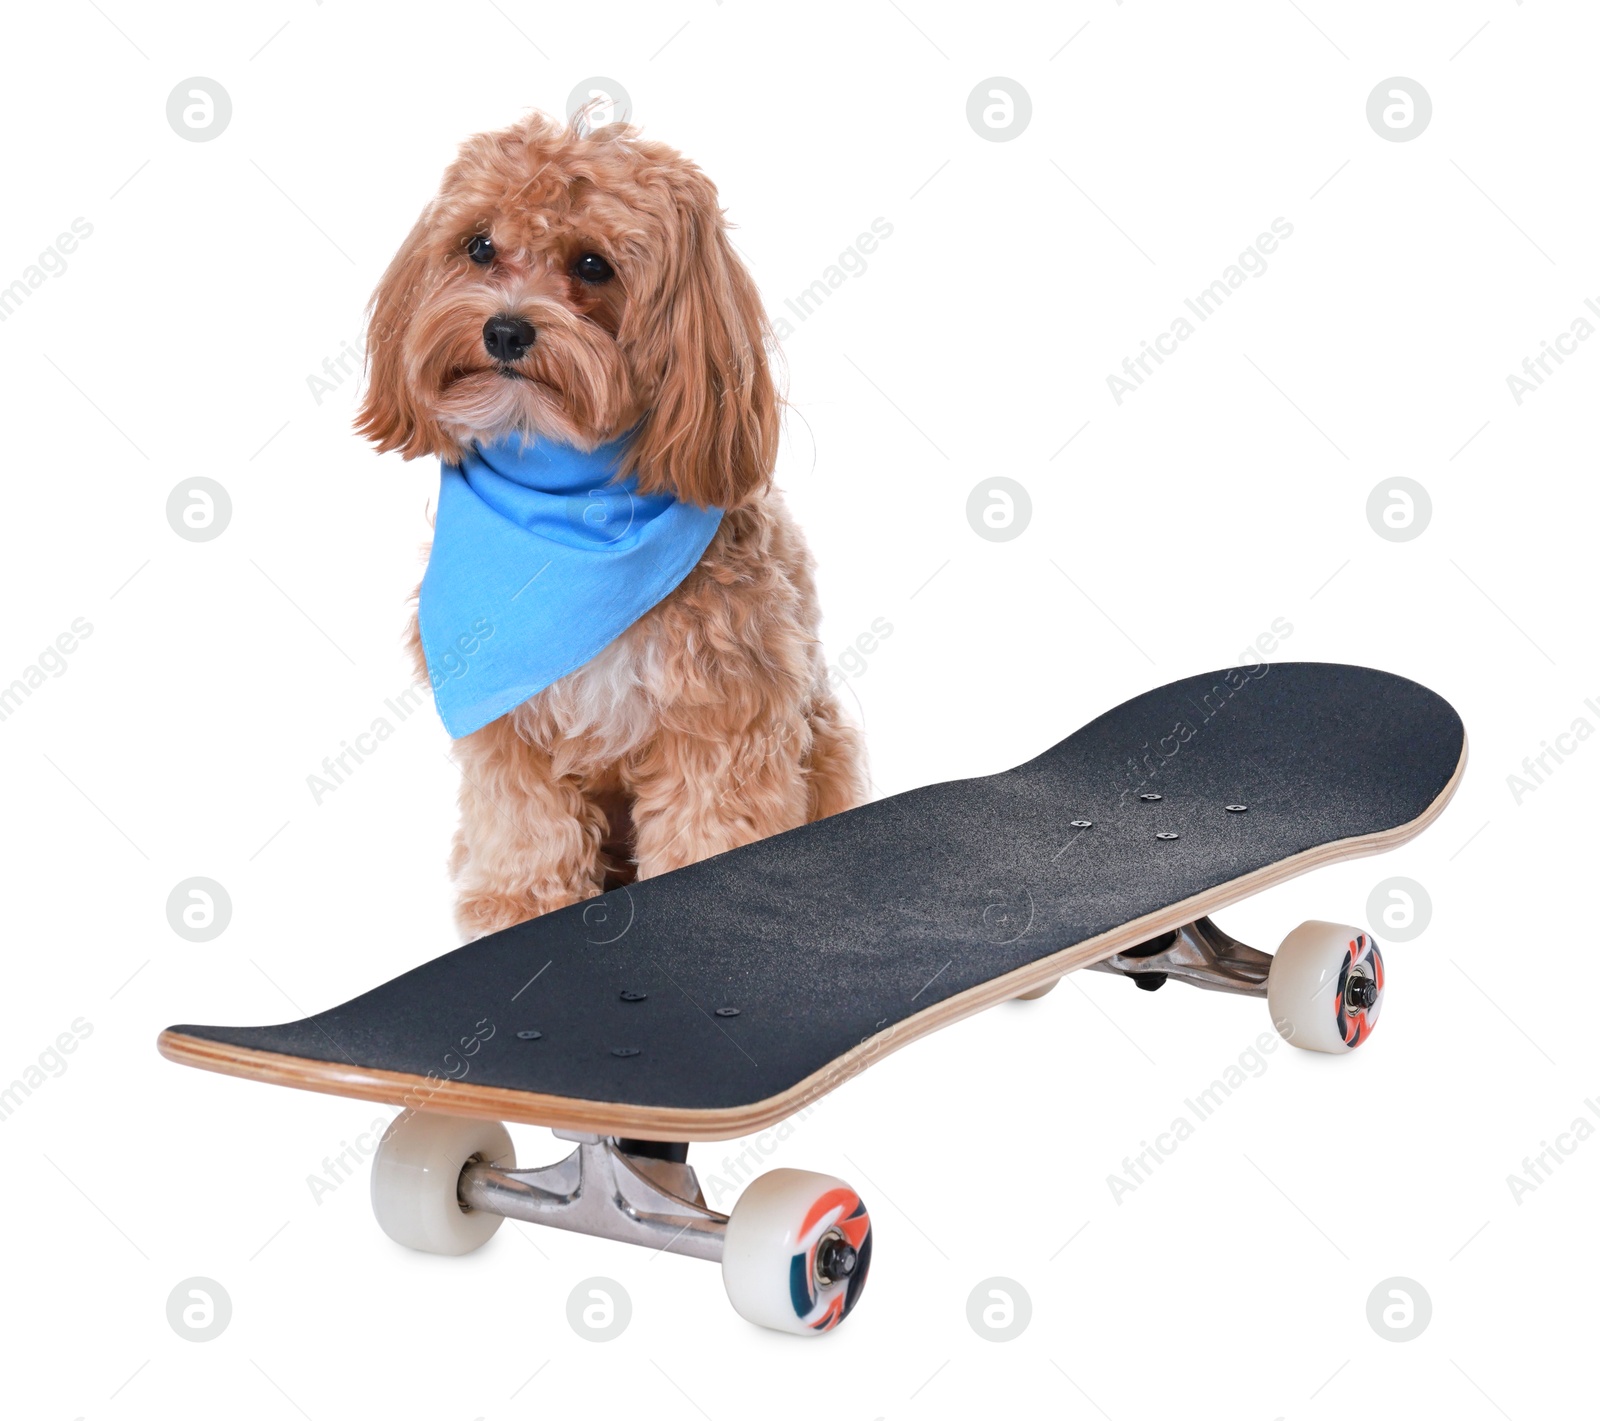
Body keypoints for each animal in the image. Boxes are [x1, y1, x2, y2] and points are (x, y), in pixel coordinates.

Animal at [358, 108, 870, 934]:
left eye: (594, 265)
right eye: (479, 245)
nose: (505, 331)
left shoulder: (722, 710)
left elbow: (710, 823)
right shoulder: (502, 721)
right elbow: (524, 822)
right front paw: (517, 905)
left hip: (824, 737)